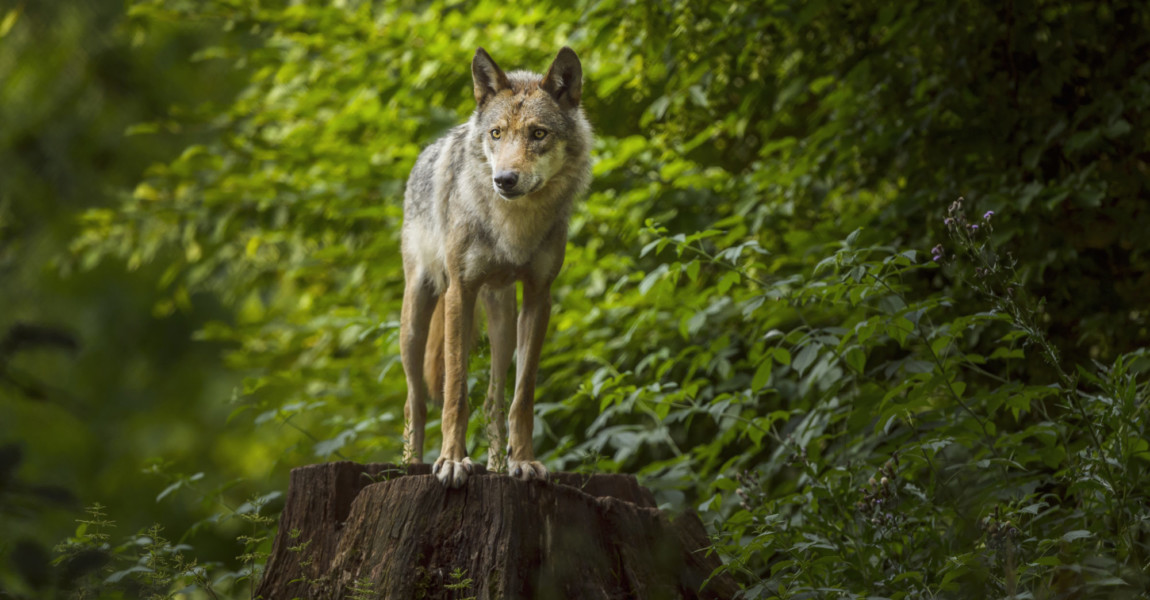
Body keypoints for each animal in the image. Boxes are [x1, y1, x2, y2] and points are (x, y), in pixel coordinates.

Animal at [397, 46, 593, 485]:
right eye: (497, 134)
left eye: (538, 134)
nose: (504, 179)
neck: (514, 227)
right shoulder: (460, 292)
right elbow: (455, 392)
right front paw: (452, 461)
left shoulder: (539, 297)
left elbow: (522, 397)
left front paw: (524, 461)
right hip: (417, 317)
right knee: (415, 400)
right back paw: (411, 465)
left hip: (502, 322)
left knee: (492, 400)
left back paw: (498, 467)